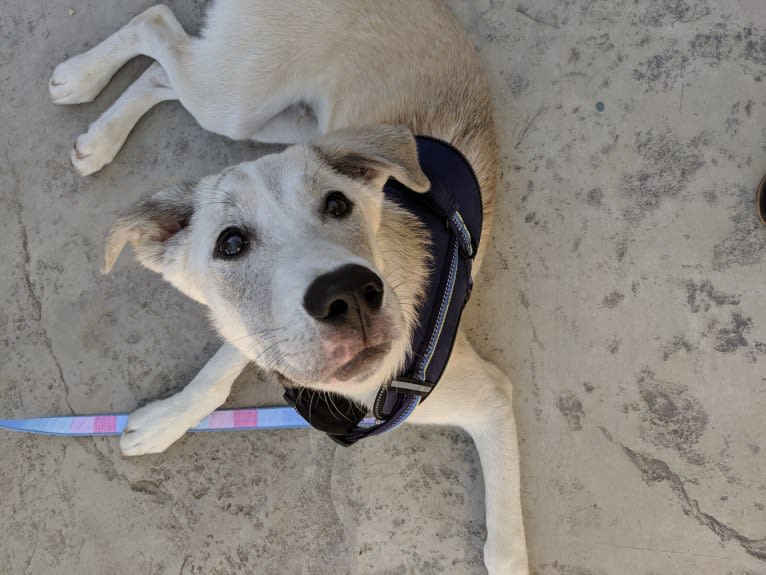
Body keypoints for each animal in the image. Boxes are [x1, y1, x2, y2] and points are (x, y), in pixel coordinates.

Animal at [48, 2, 528, 572]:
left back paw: (94, 127)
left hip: (274, 118)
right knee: (158, 28)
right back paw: (84, 89)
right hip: (240, 100)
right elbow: (217, 373)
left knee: (162, 60)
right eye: (231, 244)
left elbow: (504, 548)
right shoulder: (258, 328)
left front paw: (164, 420)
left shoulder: (490, 396)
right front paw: (168, 419)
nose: (350, 294)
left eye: (338, 204)